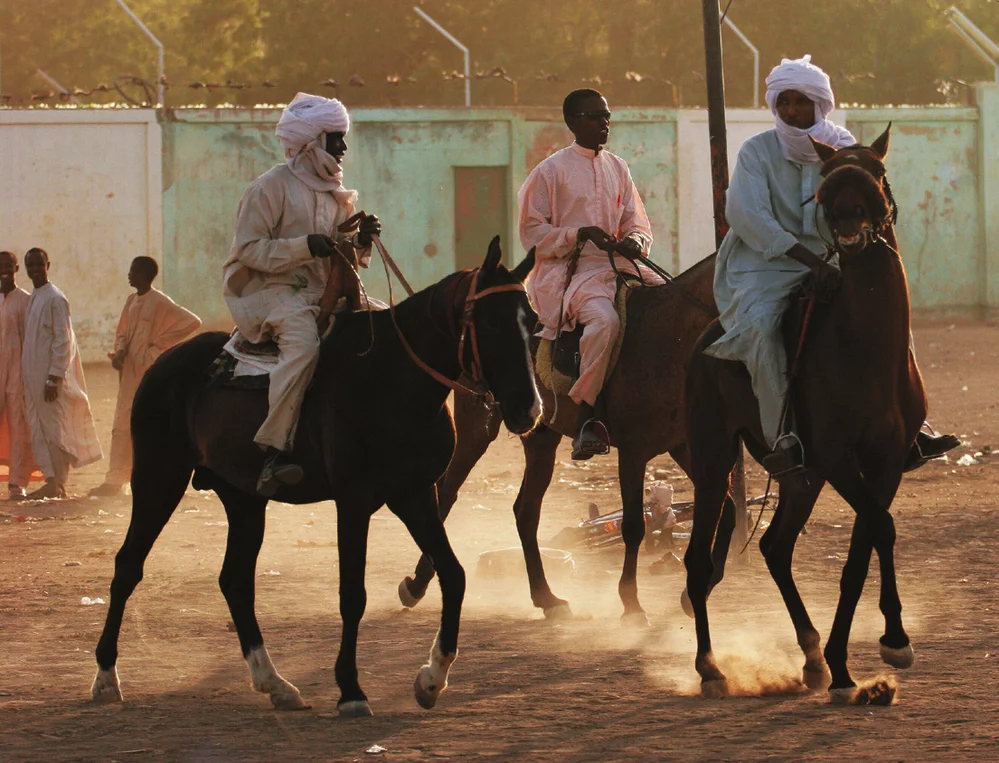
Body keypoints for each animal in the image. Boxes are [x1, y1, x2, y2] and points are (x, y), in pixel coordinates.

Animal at [91, 239, 544, 716]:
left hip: (243, 498)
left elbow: (454, 576)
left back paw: (273, 682)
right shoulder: (354, 501)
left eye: (534, 323)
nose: (528, 410)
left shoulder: (414, 496)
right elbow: (353, 595)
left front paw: (431, 679)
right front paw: (350, 689)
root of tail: (162, 364)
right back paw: (105, 676)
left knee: (235, 581)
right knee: (128, 566)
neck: (394, 380)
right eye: (490, 321)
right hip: (159, 478)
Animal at [394, 256, 740, 628]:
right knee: (447, 491)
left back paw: (547, 598)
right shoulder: (633, 452)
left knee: (525, 512)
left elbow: (728, 511)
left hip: (541, 437)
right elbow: (634, 526)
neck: (670, 336)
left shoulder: (684, 447)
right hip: (476, 427)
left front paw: (696, 593)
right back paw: (416, 585)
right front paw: (632, 605)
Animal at [684, 130, 924, 704]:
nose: (849, 221)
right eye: (828, 182)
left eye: (875, 173)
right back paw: (710, 668)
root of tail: (707, 342)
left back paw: (812, 656)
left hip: (800, 477)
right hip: (713, 459)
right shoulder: (837, 459)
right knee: (700, 559)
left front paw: (856, 657)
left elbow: (865, 544)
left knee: (775, 546)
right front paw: (878, 649)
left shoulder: (883, 462)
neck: (868, 350)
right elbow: (878, 528)